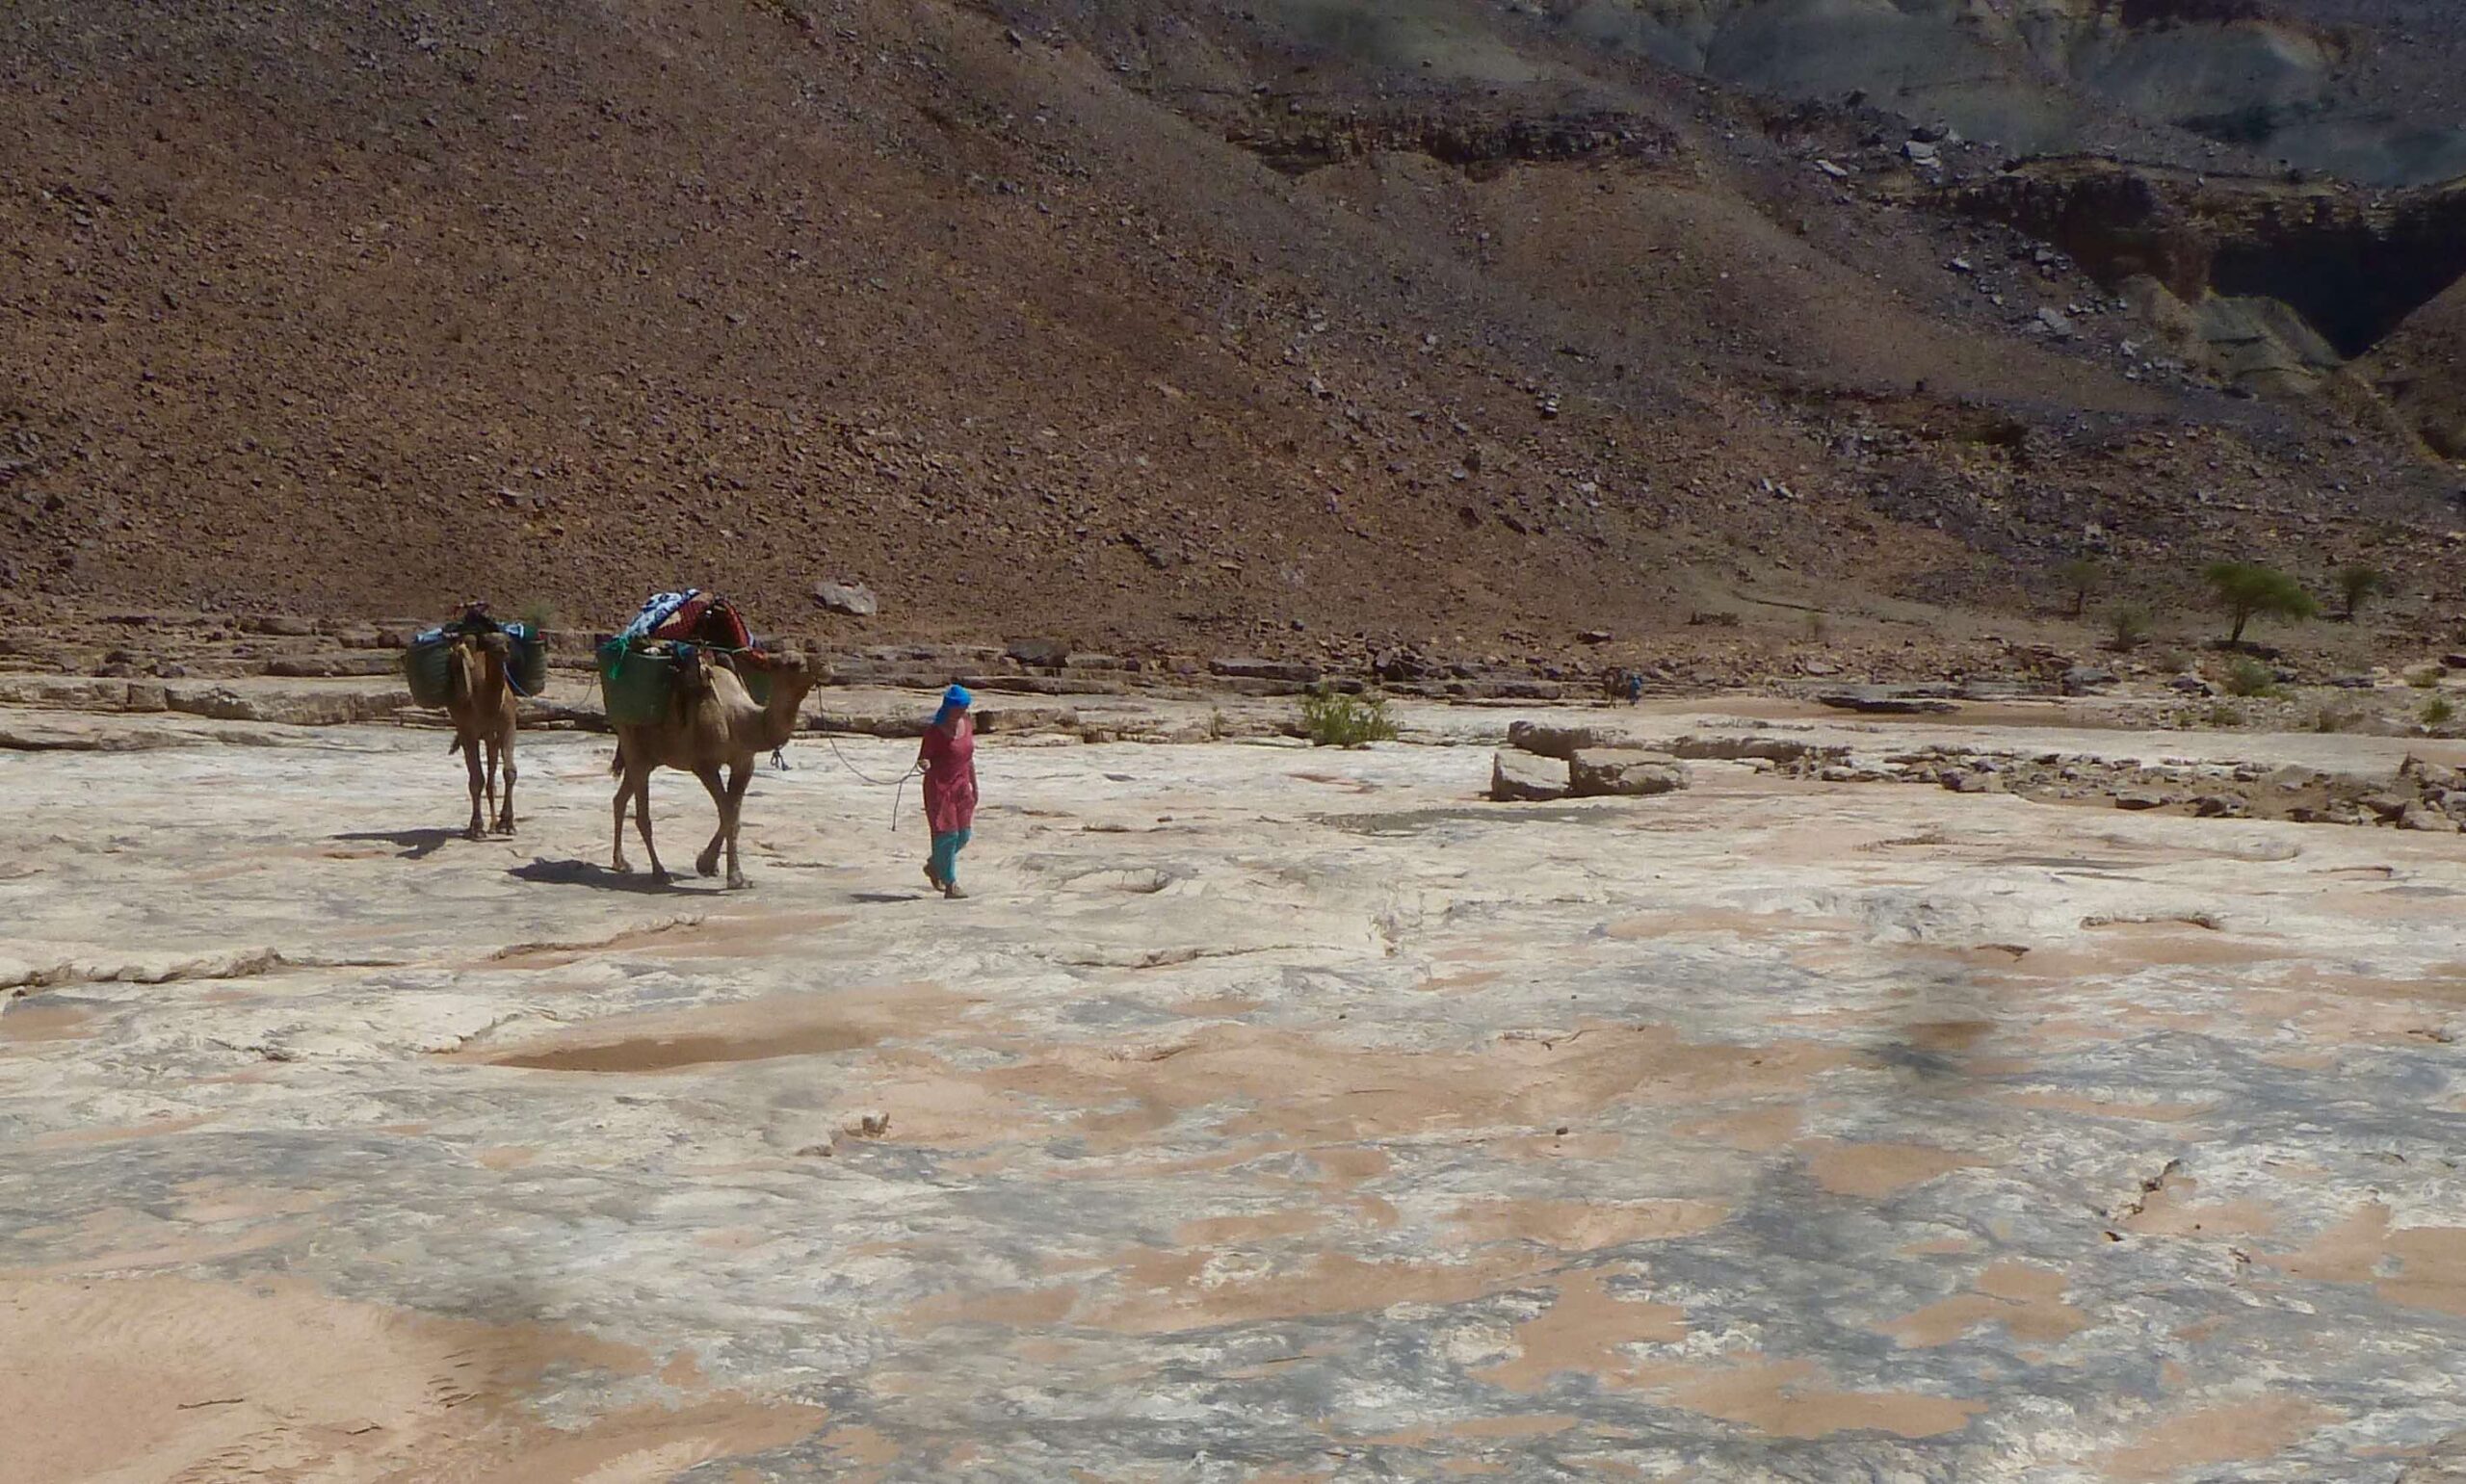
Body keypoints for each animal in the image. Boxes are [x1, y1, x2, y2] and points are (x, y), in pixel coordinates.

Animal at [446, 623, 517, 833]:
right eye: (488, 641)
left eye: (508, 640)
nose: (503, 651)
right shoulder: (469, 731)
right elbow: (476, 779)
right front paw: (477, 827)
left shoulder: (508, 726)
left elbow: (510, 772)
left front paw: (507, 823)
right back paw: (482, 825)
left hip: (491, 737)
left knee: (492, 774)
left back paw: (494, 824)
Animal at [609, 645, 818, 877]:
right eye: (793, 663)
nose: (824, 666)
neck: (738, 719)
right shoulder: (704, 765)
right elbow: (728, 815)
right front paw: (733, 876)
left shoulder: (744, 763)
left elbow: (733, 815)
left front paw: (708, 864)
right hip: (630, 736)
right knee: (641, 812)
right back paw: (660, 872)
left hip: (650, 755)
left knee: (620, 798)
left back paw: (621, 863)